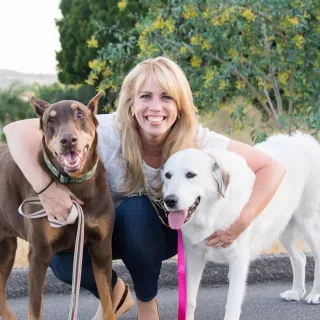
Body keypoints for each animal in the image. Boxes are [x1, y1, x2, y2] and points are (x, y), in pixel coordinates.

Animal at [0, 94, 115, 318]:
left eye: (80, 114)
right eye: (50, 120)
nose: (68, 140)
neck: (75, 186)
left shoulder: (102, 248)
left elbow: (108, 303)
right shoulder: (38, 255)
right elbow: (35, 310)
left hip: (7, 248)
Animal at [161, 133, 320, 320]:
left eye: (191, 174)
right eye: (168, 175)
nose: (169, 201)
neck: (214, 212)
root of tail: (304, 140)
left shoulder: (239, 259)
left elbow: (232, 302)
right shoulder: (194, 255)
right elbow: (189, 300)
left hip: (309, 224)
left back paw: (315, 294)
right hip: (283, 227)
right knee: (300, 258)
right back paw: (296, 293)